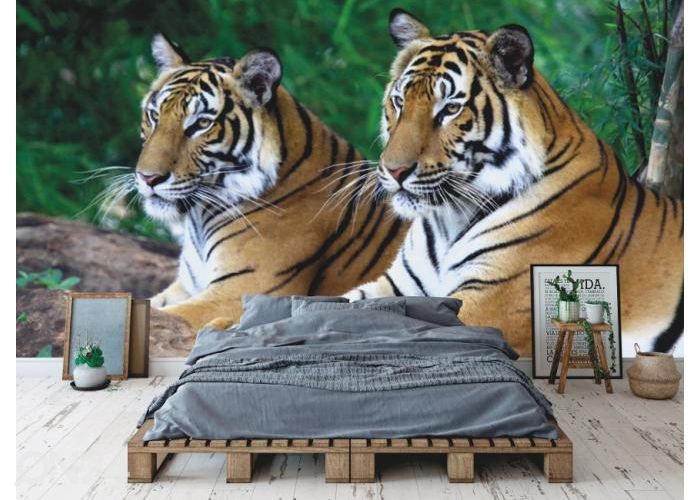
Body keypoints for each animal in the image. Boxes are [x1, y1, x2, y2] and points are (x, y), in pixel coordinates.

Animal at [133, 34, 405, 330]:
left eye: (202, 124)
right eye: (154, 116)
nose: (148, 177)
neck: (200, 218)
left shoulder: (238, 291)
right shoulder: (185, 286)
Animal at [345, 9, 683, 355]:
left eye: (451, 109)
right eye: (400, 102)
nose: (395, 170)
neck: (448, 219)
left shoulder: (487, 301)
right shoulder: (397, 285)